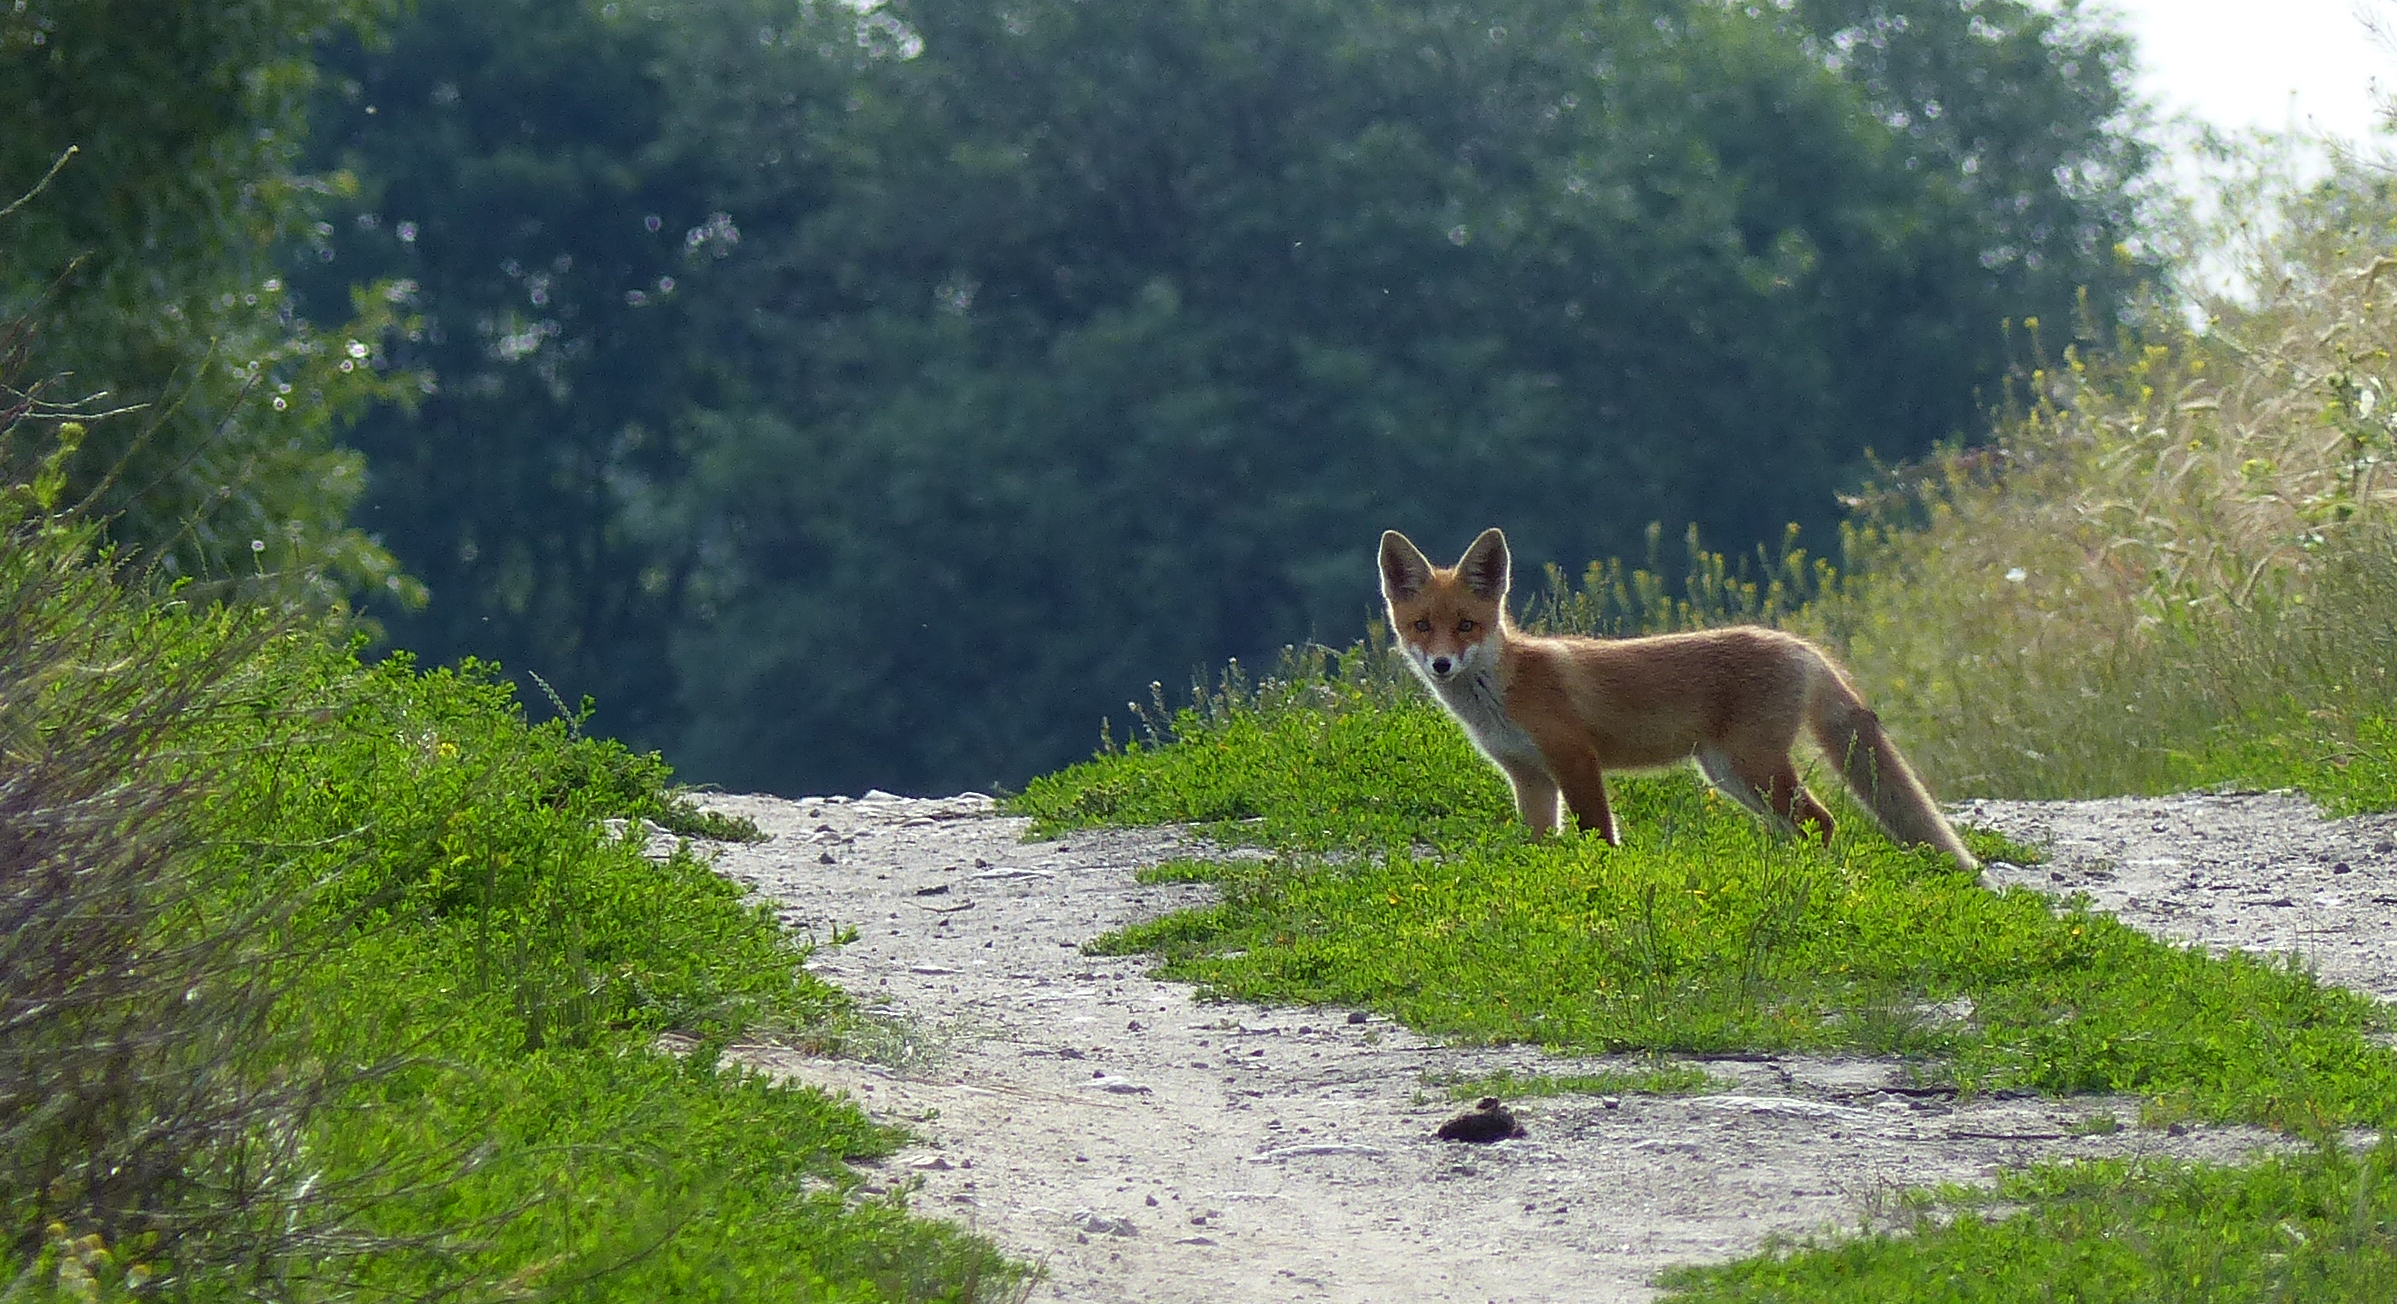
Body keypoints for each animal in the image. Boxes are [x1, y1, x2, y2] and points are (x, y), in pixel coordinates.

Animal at [1380, 524, 1975, 872]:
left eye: (1466, 625)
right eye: (1422, 626)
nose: (1440, 664)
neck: (1502, 695)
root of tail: (1797, 644)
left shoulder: (1575, 759)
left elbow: (1600, 834)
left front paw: (1602, 881)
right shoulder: (1529, 779)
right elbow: (1541, 842)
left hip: (1750, 765)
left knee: (1821, 821)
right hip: (1730, 774)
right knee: (1797, 827)